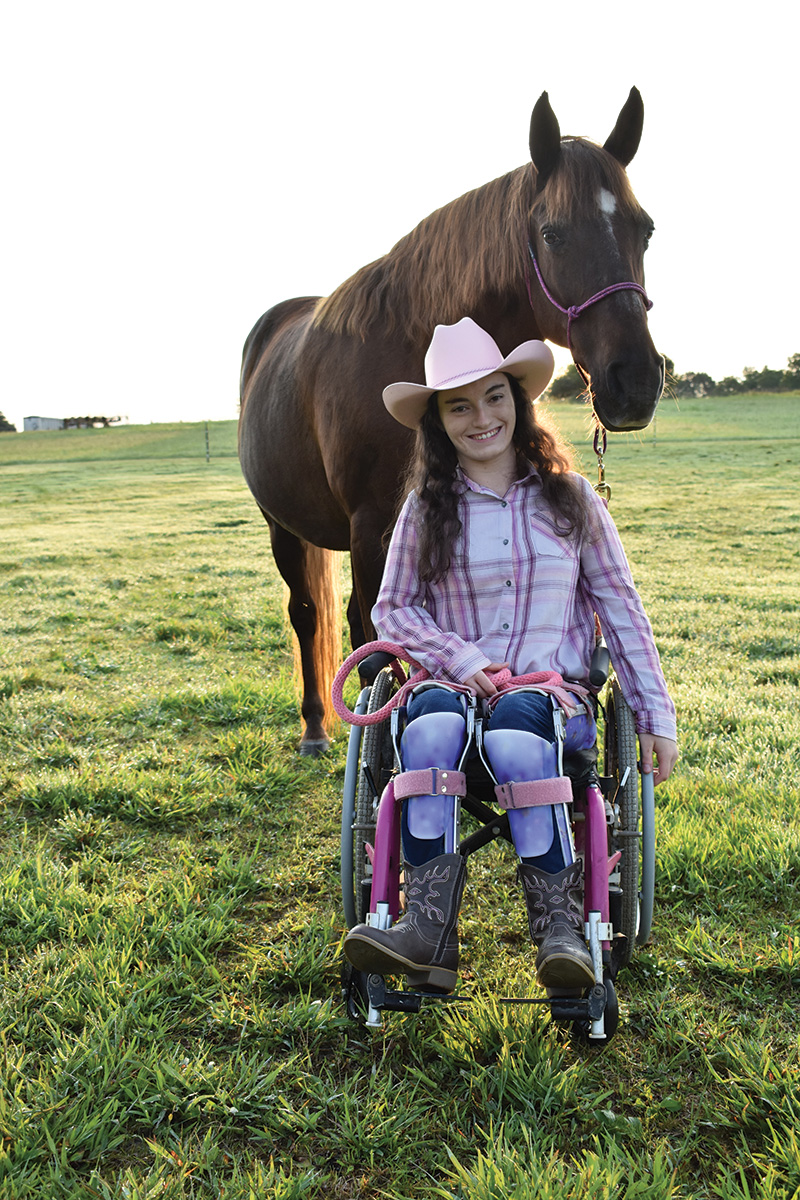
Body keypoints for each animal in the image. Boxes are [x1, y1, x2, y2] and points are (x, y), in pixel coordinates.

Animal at [241, 88, 666, 753]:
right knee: (307, 616)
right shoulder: (373, 530)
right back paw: (313, 726)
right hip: (281, 525)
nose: (636, 381)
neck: (411, 340)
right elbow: (372, 648)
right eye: (552, 233)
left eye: (643, 228)